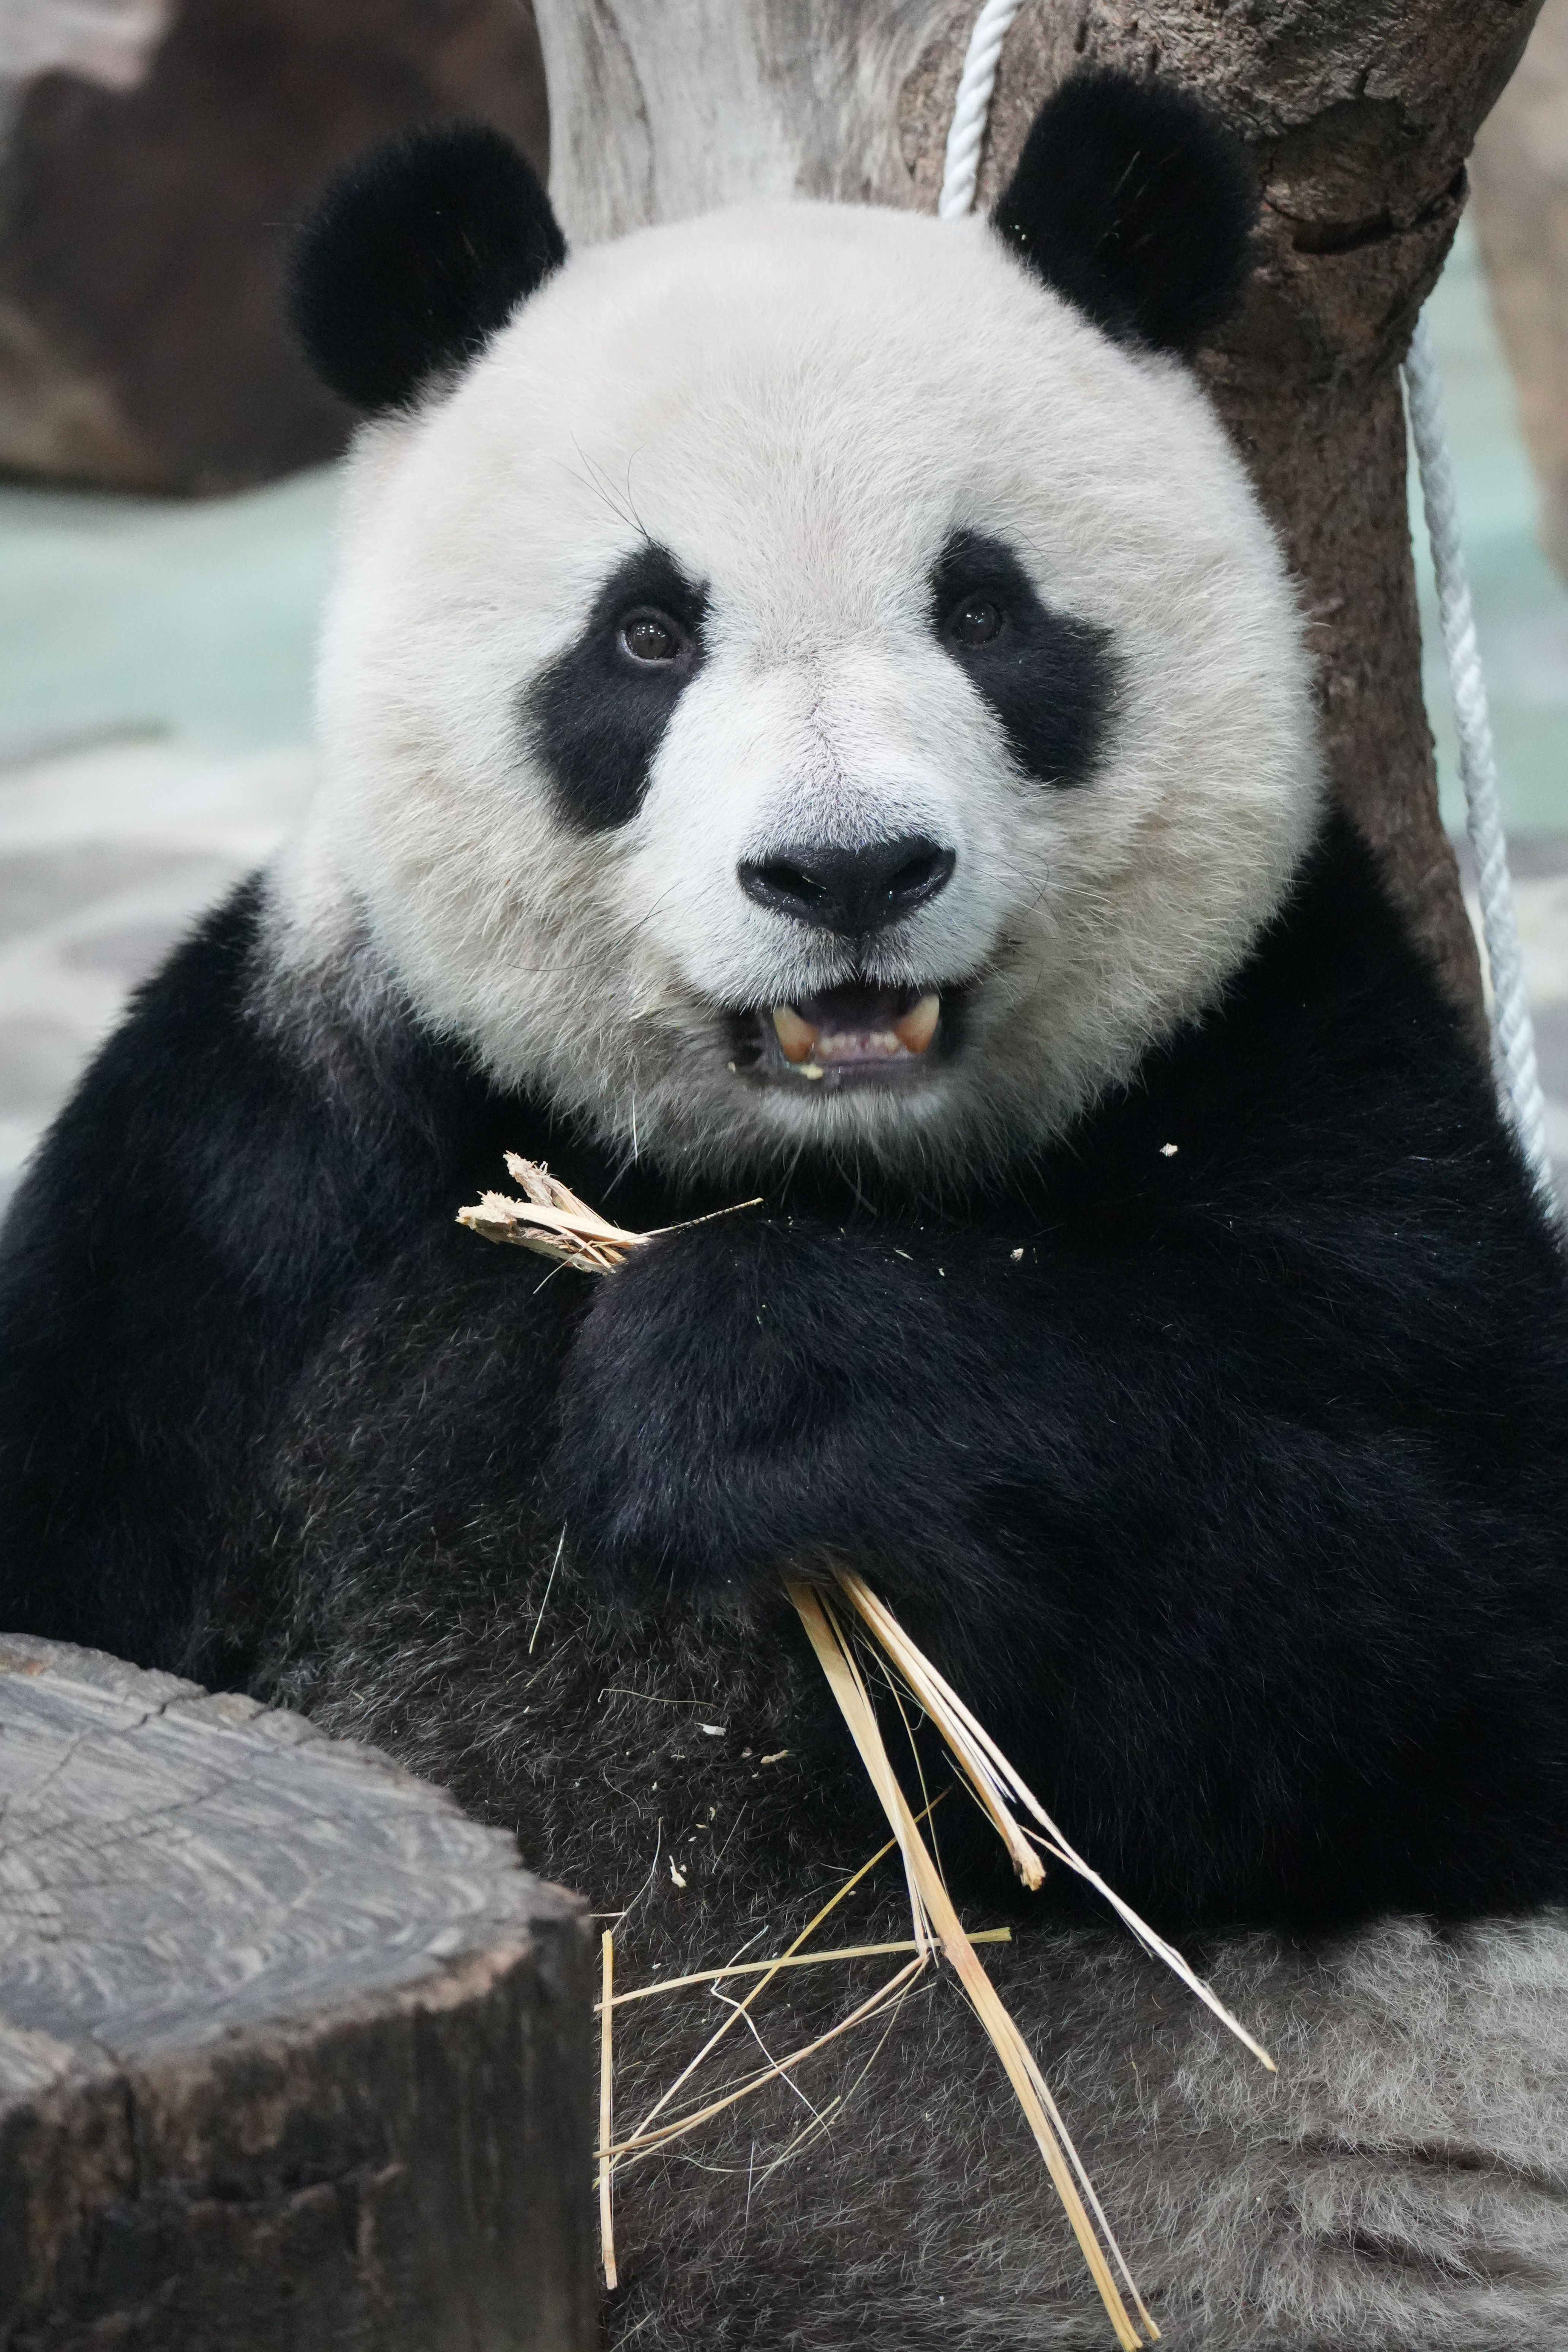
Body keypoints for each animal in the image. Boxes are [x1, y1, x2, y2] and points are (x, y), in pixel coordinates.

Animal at [5, 65, 1568, 2349]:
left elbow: (1452, 1617)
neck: (790, 1161)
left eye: (986, 610)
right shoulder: (262, 1177)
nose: (847, 873)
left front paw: (756, 1384)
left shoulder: (1298, 1065)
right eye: (646, 632)